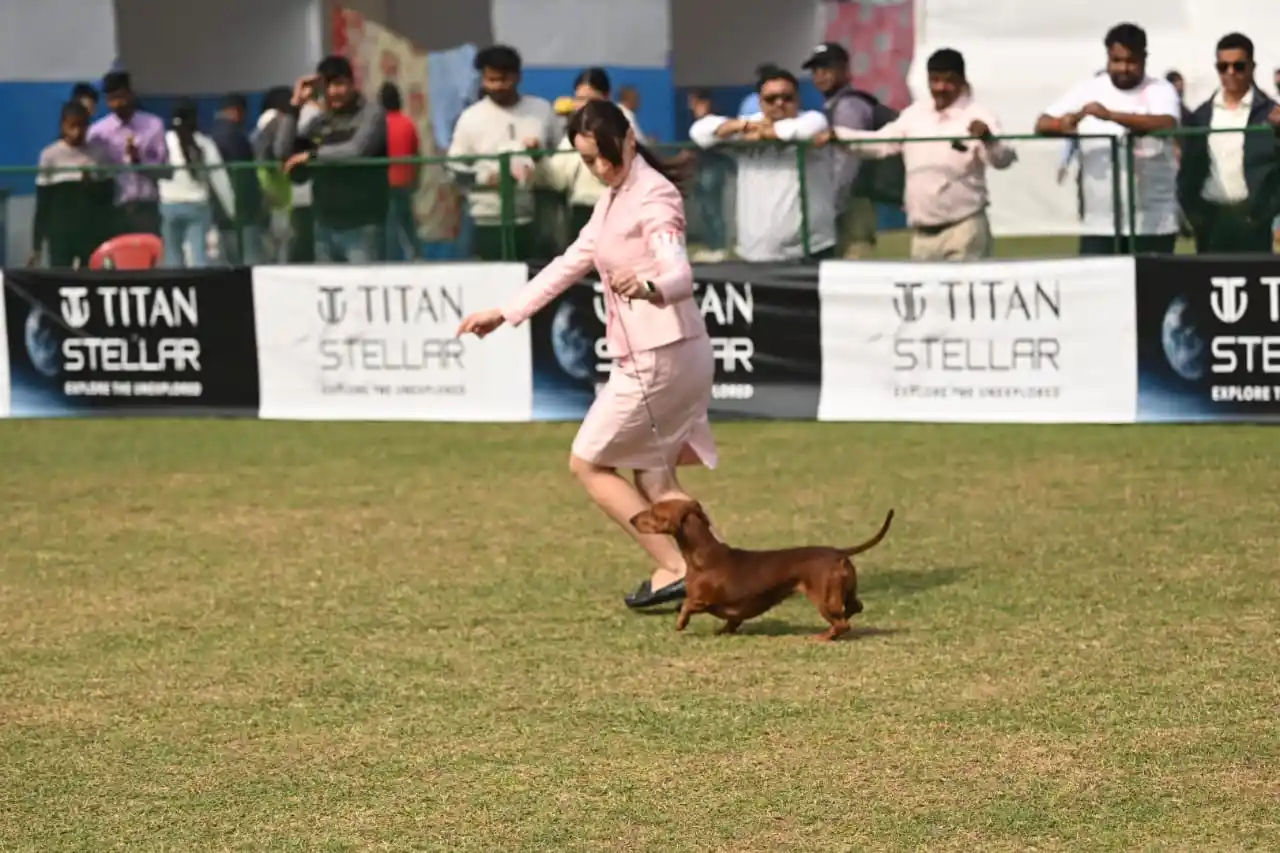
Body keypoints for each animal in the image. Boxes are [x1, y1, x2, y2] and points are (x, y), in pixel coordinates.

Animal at [630, 500, 894, 641]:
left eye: (654, 512)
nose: (632, 519)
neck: (702, 555)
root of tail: (839, 552)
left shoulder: (701, 599)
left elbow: (685, 605)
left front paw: (680, 624)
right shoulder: (732, 611)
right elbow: (731, 621)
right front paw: (722, 631)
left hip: (822, 598)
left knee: (842, 624)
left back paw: (824, 636)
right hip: (843, 592)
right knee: (854, 607)